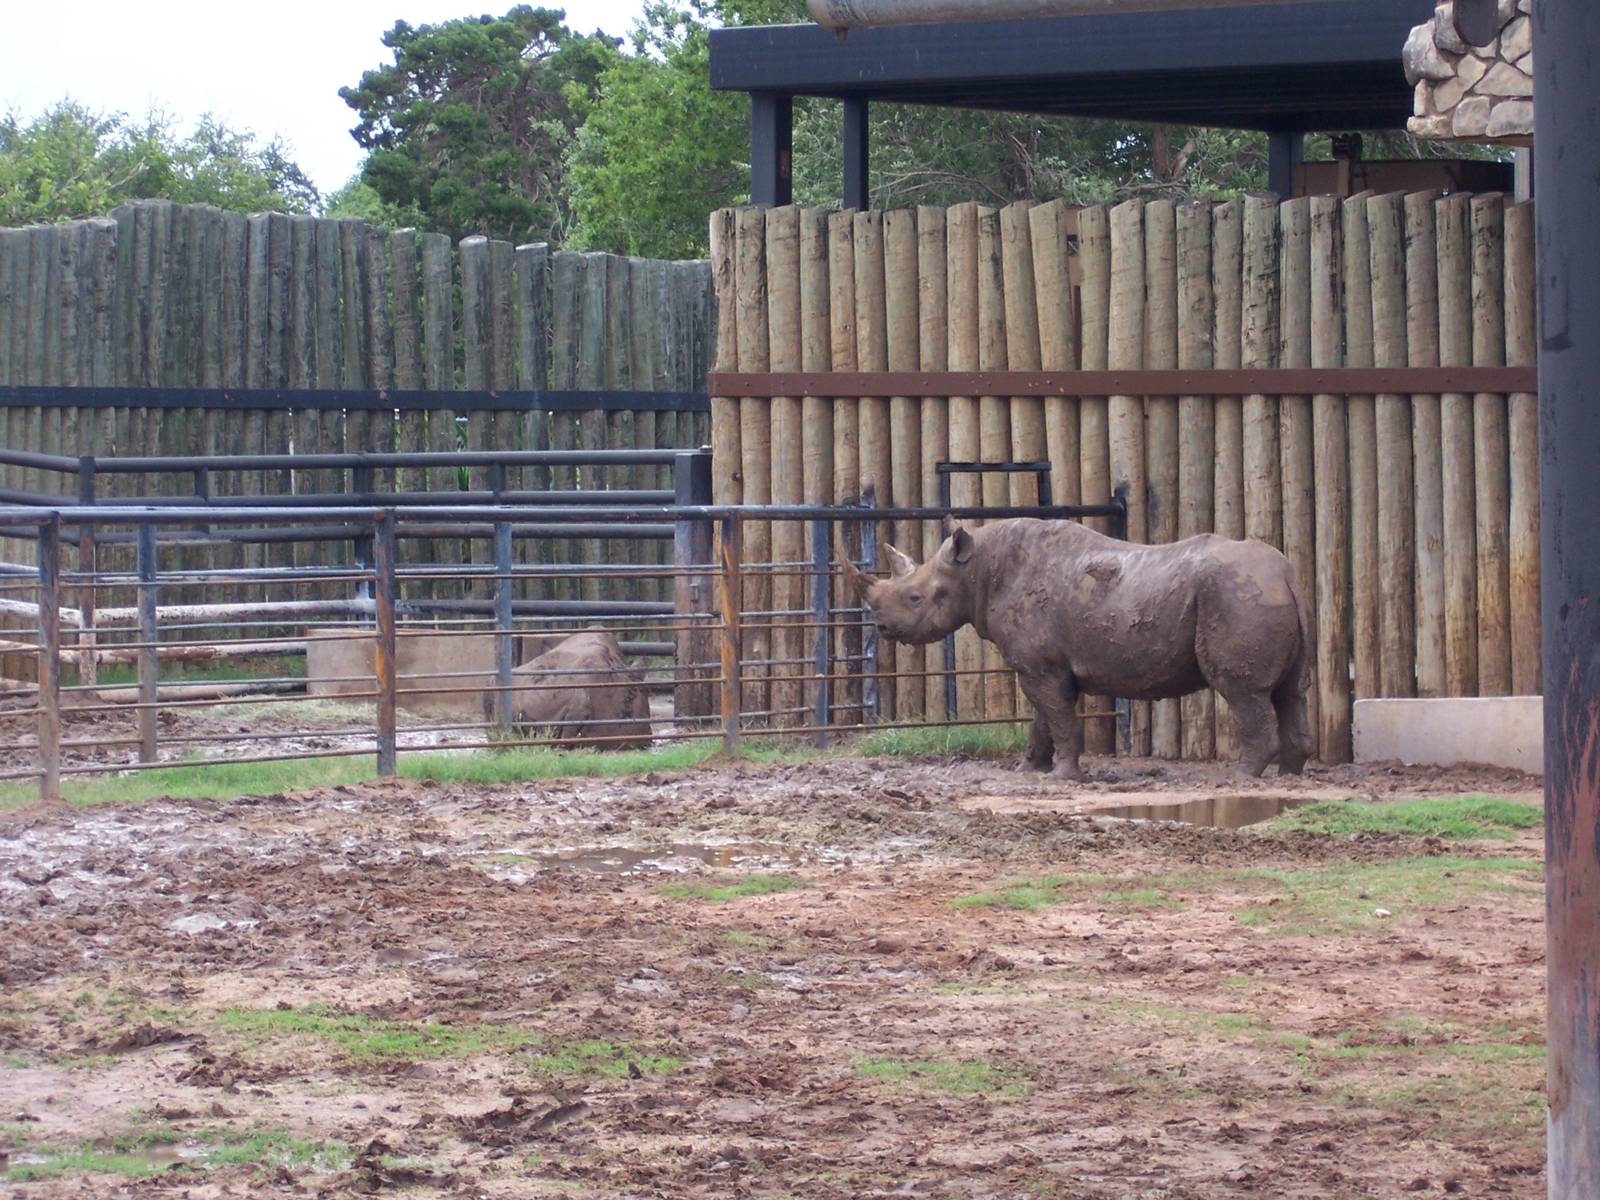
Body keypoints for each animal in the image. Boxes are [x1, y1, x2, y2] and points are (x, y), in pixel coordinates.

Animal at [839, 519, 1313, 778]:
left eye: (915, 598)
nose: (882, 626)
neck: (976, 571)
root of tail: (1288, 576)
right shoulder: (1044, 665)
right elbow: (1043, 719)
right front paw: (1029, 771)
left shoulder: (1041, 666)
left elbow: (1059, 718)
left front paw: (1062, 778)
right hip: (1264, 594)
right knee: (1290, 692)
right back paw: (1288, 776)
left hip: (1238, 596)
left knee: (1243, 692)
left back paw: (1238, 779)